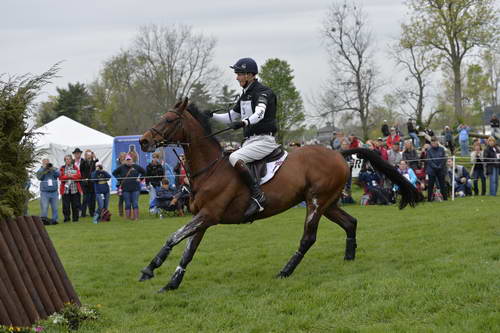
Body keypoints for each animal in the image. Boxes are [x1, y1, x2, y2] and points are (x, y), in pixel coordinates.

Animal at [138, 97, 422, 292]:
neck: (210, 169)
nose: (143, 141)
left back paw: (285, 271)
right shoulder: (203, 219)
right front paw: (171, 283)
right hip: (327, 203)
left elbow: (173, 237)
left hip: (316, 203)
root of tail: (338, 153)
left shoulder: (209, 215)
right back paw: (349, 258)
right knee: (350, 222)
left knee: (308, 238)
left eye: (169, 120)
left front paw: (150, 269)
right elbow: (188, 250)